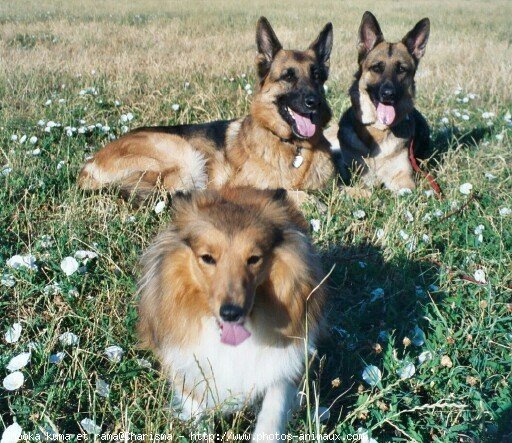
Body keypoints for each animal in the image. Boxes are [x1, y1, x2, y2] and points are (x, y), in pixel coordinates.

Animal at [79, 17, 336, 199]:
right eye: (288, 76)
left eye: (316, 76)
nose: (314, 102)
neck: (294, 147)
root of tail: (89, 164)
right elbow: (295, 194)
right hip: (183, 156)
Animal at [137, 187, 328, 440]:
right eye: (207, 258)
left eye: (254, 258)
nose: (231, 313)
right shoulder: (186, 367)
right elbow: (197, 409)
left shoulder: (288, 362)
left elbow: (274, 406)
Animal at [326, 11, 430, 193]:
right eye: (376, 68)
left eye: (401, 69)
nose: (388, 94)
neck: (378, 129)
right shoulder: (358, 177)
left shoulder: (404, 179)